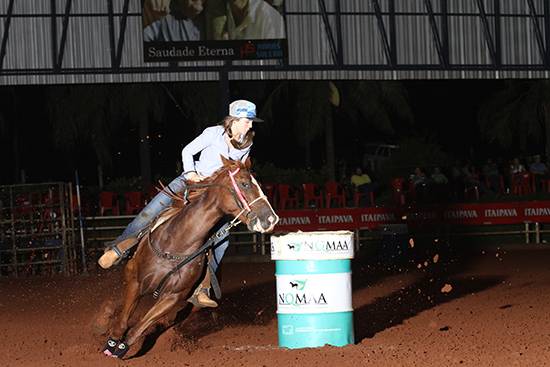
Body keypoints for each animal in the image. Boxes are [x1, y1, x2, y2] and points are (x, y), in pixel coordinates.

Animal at [97, 156, 280, 360]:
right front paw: (111, 345)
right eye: (245, 184)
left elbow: (139, 328)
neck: (178, 242)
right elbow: (123, 321)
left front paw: (122, 348)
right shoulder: (135, 283)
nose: (271, 219)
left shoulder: (173, 297)